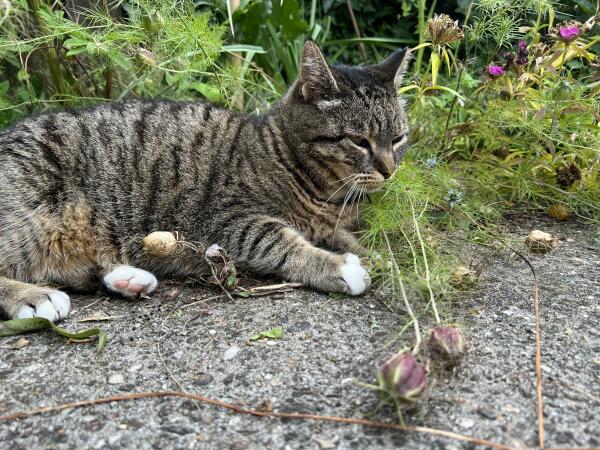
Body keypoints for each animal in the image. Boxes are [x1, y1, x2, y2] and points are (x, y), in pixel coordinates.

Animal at [0, 41, 410, 320]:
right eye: (359, 141)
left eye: (398, 138)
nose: (389, 169)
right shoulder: (230, 222)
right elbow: (282, 243)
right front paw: (338, 267)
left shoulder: (330, 224)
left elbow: (357, 241)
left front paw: (384, 259)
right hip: (30, 216)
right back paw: (34, 297)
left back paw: (128, 278)